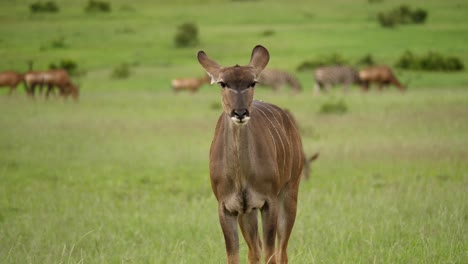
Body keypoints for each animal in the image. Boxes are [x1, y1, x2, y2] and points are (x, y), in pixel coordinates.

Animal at [198, 44, 306, 262]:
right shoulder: (228, 207)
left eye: (252, 82)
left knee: (281, 251)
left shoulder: (269, 202)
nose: (240, 113)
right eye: (222, 83)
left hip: (289, 192)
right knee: (254, 250)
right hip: (247, 213)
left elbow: (271, 253)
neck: (241, 175)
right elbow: (234, 255)